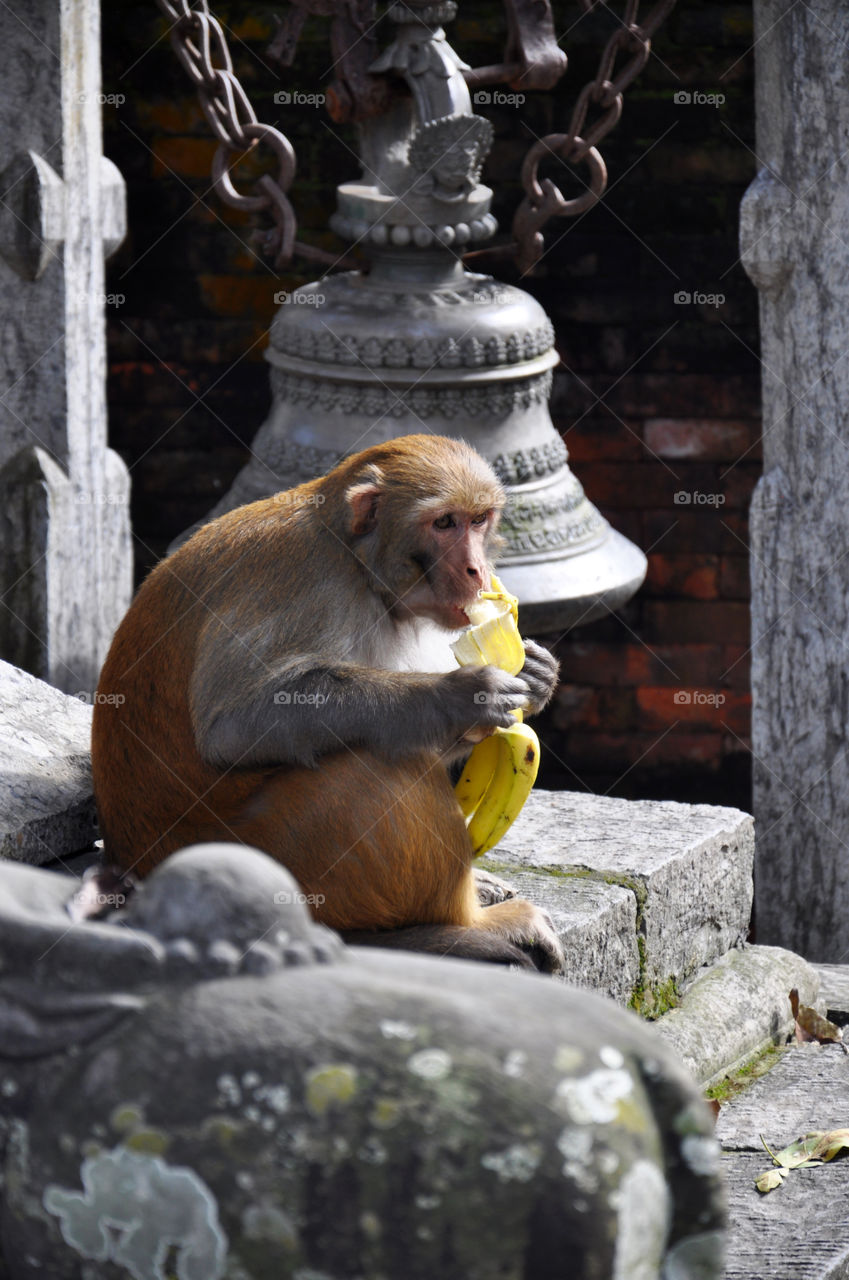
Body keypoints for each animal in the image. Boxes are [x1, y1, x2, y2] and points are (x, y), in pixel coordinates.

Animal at [91, 435, 563, 972]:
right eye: (444, 523)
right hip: (271, 854)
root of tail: (134, 868)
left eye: (479, 520)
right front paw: (460, 696)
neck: (354, 558)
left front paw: (536, 676)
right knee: (371, 766)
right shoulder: (308, 589)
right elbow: (232, 727)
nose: (477, 569)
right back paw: (468, 926)